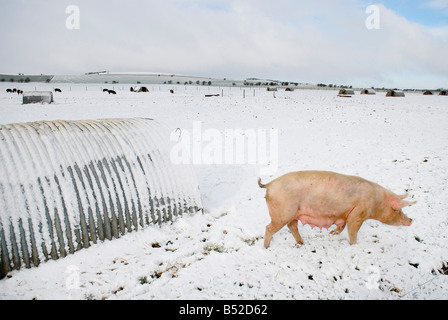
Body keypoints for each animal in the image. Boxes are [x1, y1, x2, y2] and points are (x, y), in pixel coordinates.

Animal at [260, 170, 416, 248]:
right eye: (397, 209)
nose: (411, 220)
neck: (377, 202)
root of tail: (269, 184)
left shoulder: (345, 214)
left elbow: (343, 225)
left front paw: (332, 233)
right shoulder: (359, 213)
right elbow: (352, 230)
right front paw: (354, 245)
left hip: (292, 213)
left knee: (292, 226)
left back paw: (302, 243)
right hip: (283, 212)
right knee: (269, 227)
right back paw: (266, 247)